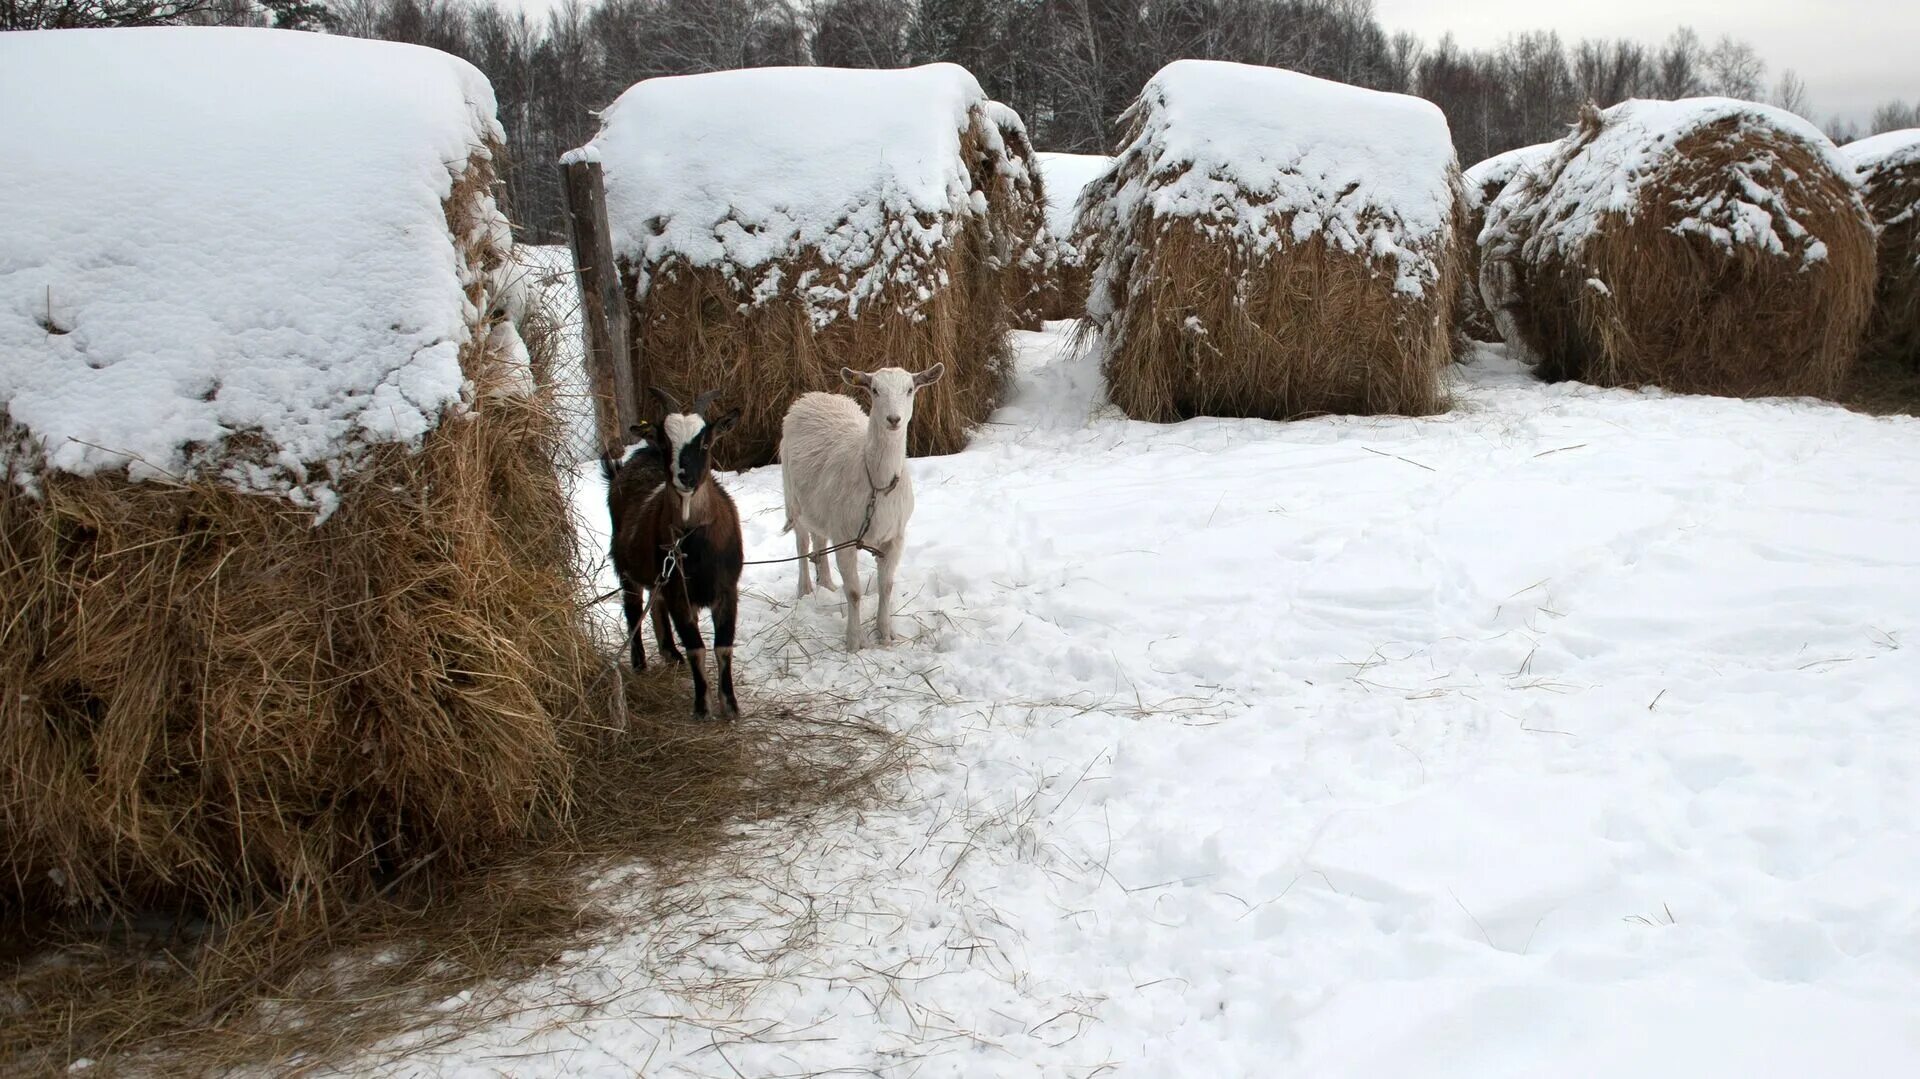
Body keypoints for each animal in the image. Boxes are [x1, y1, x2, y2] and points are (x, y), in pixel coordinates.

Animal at [606, 382, 741, 718]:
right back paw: (640, 663)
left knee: (655, 604)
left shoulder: (727, 589)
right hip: (627, 567)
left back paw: (670, 653)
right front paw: (702, 706)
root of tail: (642, 453)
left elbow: (723, 647)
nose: (685, 476)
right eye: (668, 442)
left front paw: (730, 705)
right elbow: (697, 648)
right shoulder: (680, 593)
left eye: (705, 441)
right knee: (632, 608)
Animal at [779, 362, 944, 645]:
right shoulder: (845, 537)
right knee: (802, 543)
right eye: (875, 390)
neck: (877, 485)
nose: (893, 419)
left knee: (819, 539)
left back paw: (827, 585)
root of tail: (812, 396)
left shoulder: (895, 538)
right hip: (792, 498)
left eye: (910, 389)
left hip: (820, 509)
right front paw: (854, 641)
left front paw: (885, 634)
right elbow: (854, 592)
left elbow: (886, 587)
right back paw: (805, 590)